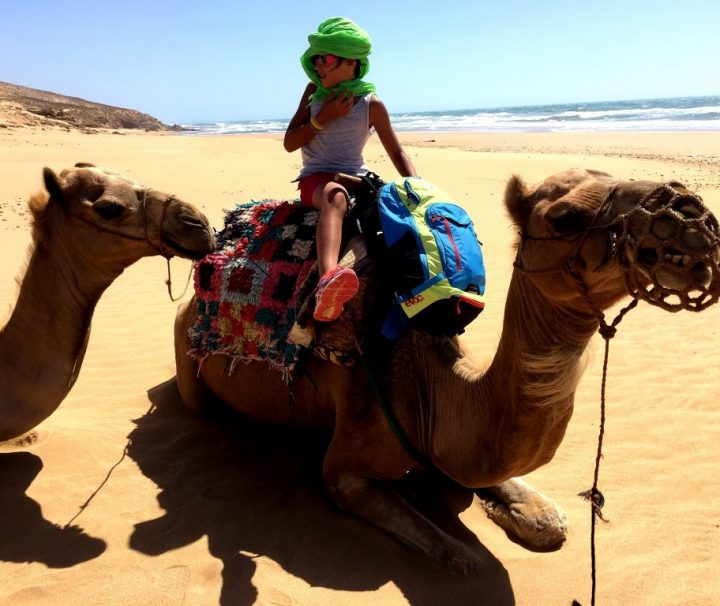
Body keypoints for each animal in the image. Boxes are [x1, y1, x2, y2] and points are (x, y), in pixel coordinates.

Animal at [174, 168, 719, 573]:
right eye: (566, 216)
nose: (690, 213)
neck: (430, 388)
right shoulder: (345, 469)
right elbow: (456, 555)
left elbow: (551, 521)